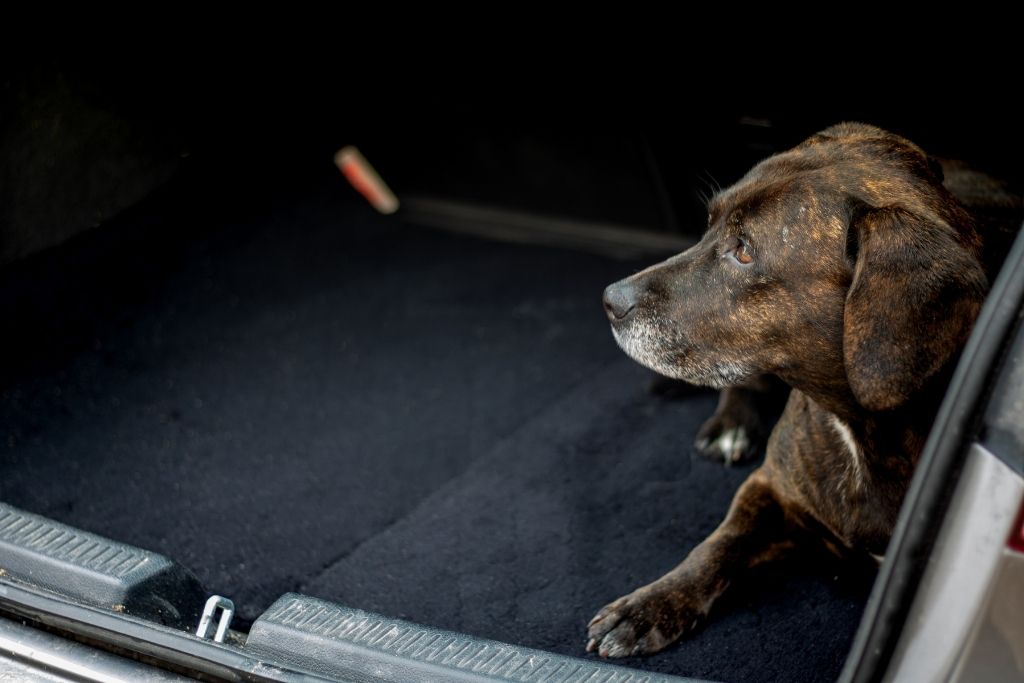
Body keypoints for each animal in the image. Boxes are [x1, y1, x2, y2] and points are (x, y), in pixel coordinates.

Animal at [589, 121, 995, 655]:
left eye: (743, 251)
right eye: (709, 222)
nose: (610, 300)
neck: (865, 432)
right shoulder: (770, 486)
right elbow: (716, 545)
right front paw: (649, 605)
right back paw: (731, 425)